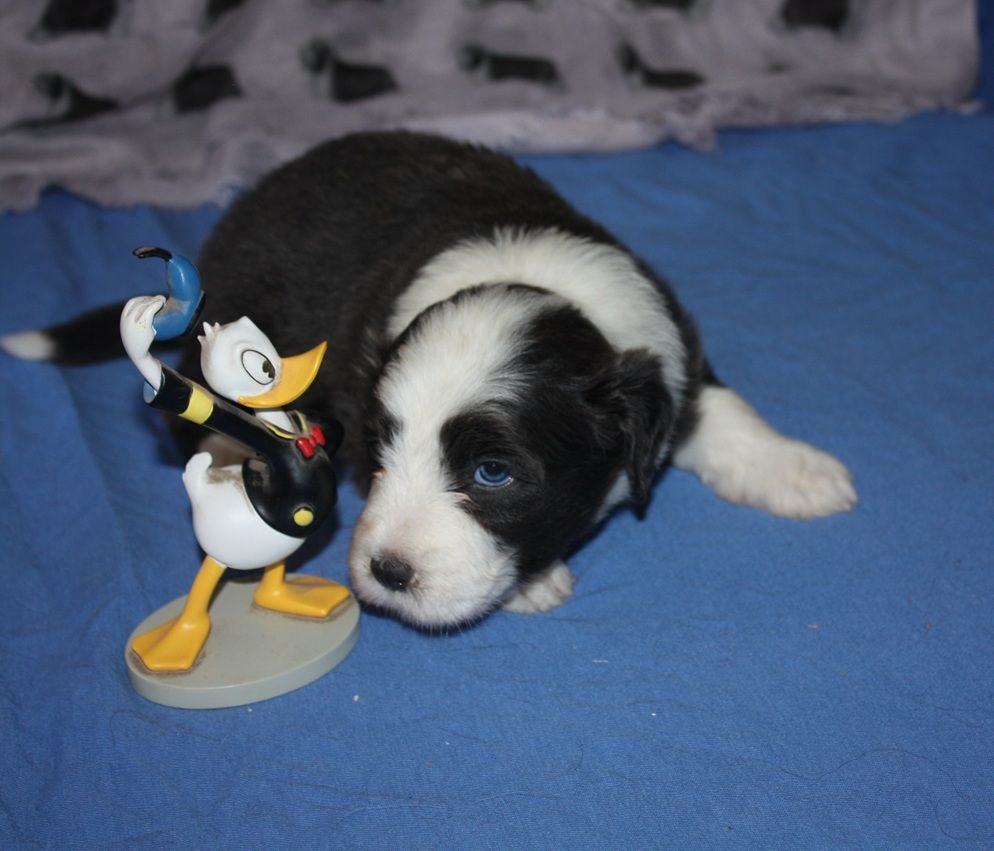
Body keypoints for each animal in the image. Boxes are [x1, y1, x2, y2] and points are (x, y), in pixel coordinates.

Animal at [2, 131, 857, 628]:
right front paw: (533, 583)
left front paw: (800, 471)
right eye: (378, 452)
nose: (386, 573)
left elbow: (716, 408)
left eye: (492, 472)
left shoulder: (663, 352)